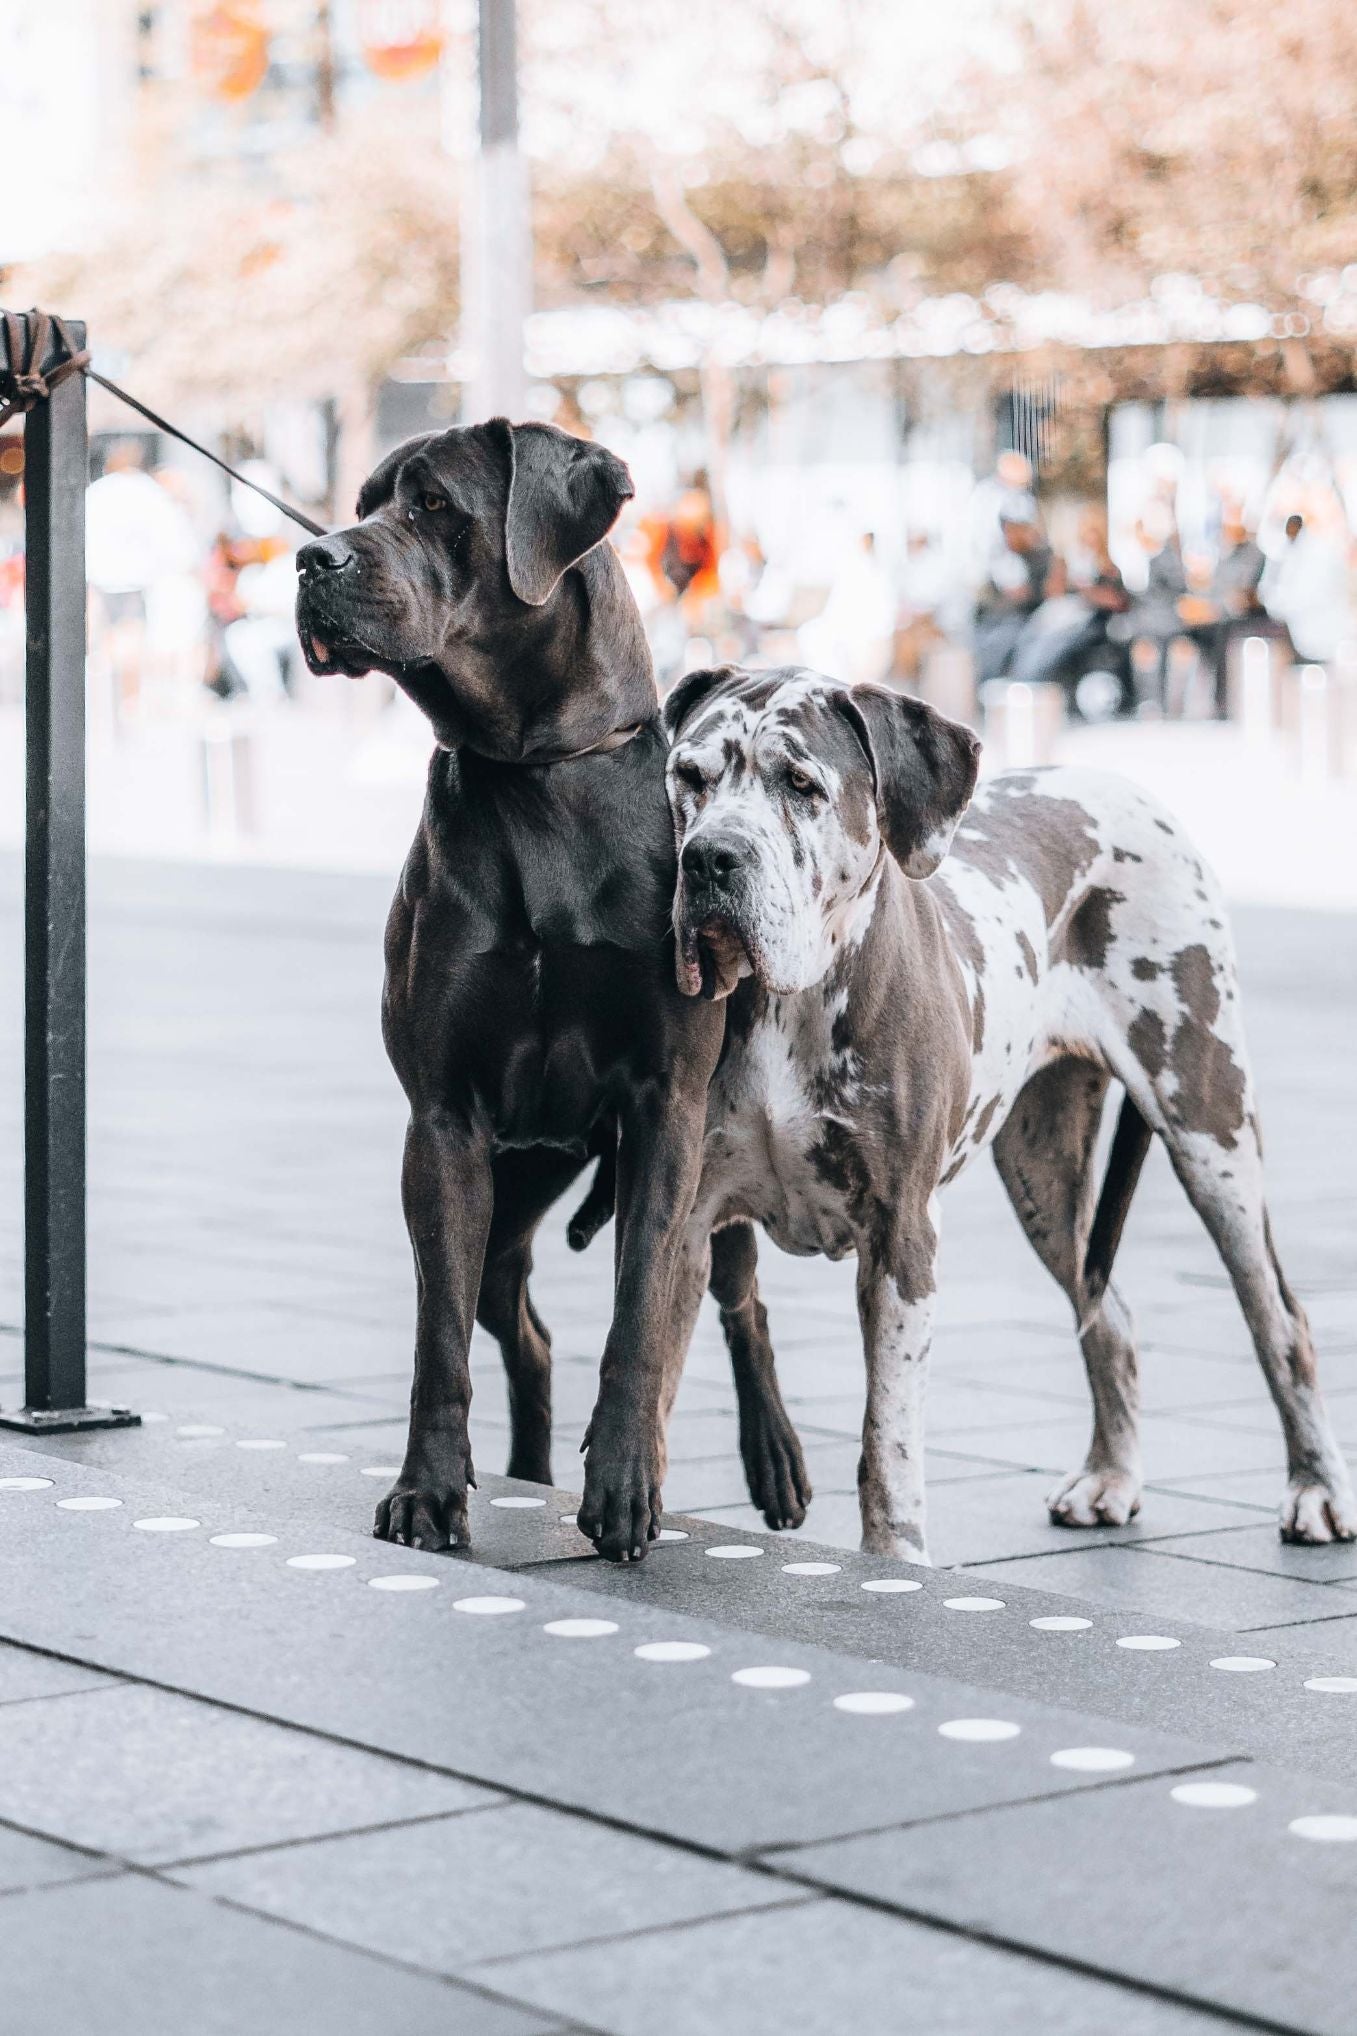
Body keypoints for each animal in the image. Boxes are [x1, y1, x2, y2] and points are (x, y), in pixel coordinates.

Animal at [297, 417, 805, 1555]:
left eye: (432, 505)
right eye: (361, 502)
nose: (310, 559)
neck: (533, 777)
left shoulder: (667, 1109)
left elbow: (639, 1313)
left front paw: (621, 1483)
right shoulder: (443, 1121)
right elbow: (438, 1335)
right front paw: (427, 1490)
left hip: (714, 1148)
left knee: (739, 1298)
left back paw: (773, 1455)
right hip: (517, 1173)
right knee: (515, 1324)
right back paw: (523, 1473)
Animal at [659, 667, 1357, 1555]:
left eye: (800, 785)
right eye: (690, 776)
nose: (709, 857)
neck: (788, 1001)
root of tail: (1121, 781)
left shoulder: (900, 1238)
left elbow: (887, 1443)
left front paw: (892, 1563)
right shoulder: (681, 1219)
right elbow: (642, 1381)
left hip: (1211, 1133)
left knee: (1280, 1319)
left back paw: (1316, 1489)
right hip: (1042, 1174)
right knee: (1108, 1313)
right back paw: (1109, 1476)